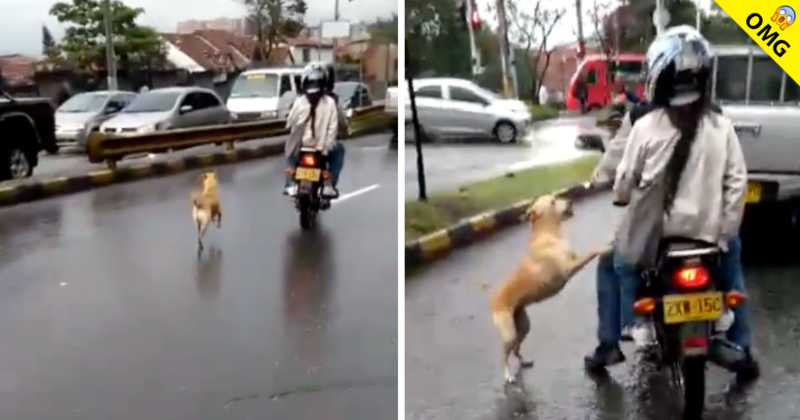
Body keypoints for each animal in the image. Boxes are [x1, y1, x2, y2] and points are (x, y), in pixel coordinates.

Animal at [488, 194, 612, 384]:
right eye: (553, 201)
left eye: (557, 197)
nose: (570, 201)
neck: (549, 234)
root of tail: (493, 298)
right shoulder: (569, 268)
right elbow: (592, 250)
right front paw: (605, 247)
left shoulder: (574, 258)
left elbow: (586, 252)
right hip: (508, 333)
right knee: (504, 356)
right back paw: (508, 375)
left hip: (523, 326)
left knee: (516, 349)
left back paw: (524, 362)